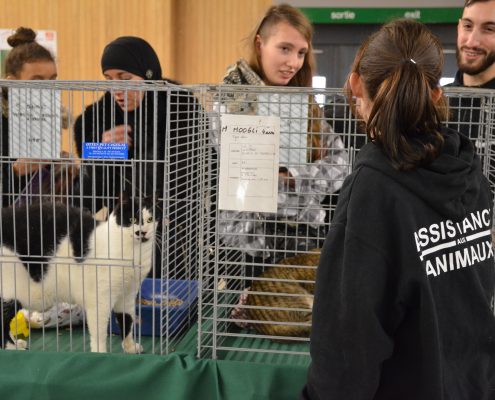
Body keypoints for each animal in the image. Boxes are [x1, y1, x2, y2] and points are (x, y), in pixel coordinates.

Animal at [0, 194, 158, 354]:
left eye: (150, 219)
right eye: (132, 219)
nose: (142, 232)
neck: (134, 255)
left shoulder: (128, 294)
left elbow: (127, 320)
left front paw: (130, 347)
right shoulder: (99, 299)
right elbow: (99, 332)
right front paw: (101, 353)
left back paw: (16, 343)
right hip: (9, 291)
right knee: (2, 321)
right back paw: (12, 347)